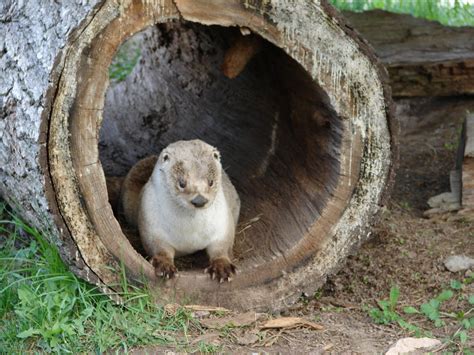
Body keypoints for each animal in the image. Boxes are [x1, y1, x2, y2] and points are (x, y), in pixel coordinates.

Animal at [122, 140, 241, 282]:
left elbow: (222, 247)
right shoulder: (151, 223)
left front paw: (222, 267)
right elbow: (158, 247)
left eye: (211, 182)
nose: (199, 200)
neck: (190, 234)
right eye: (182, 183)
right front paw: (164, 265)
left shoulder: (223, 223)